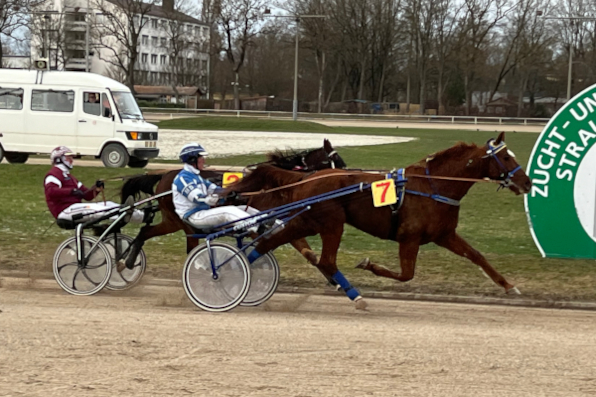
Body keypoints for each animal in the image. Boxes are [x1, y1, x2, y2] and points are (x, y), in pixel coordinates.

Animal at [118, 138, 346, 270]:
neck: (275, 184)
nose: (346, 176)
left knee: (145, 232)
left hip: (172, 222)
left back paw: (126, 261)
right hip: (183, 223)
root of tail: (165, 176)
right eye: (338, 162)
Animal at [226, 133, 532, 310]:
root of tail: (304, 178)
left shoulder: (444, 235)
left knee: (269, 245)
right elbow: (406, 275)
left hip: (307, 222)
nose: (527, 182)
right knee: (324, 260)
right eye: (506, 158)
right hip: (330, 223)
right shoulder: (409, 237)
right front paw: (368, 264)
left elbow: (477, 256)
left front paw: (510, 286)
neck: (434, 186)